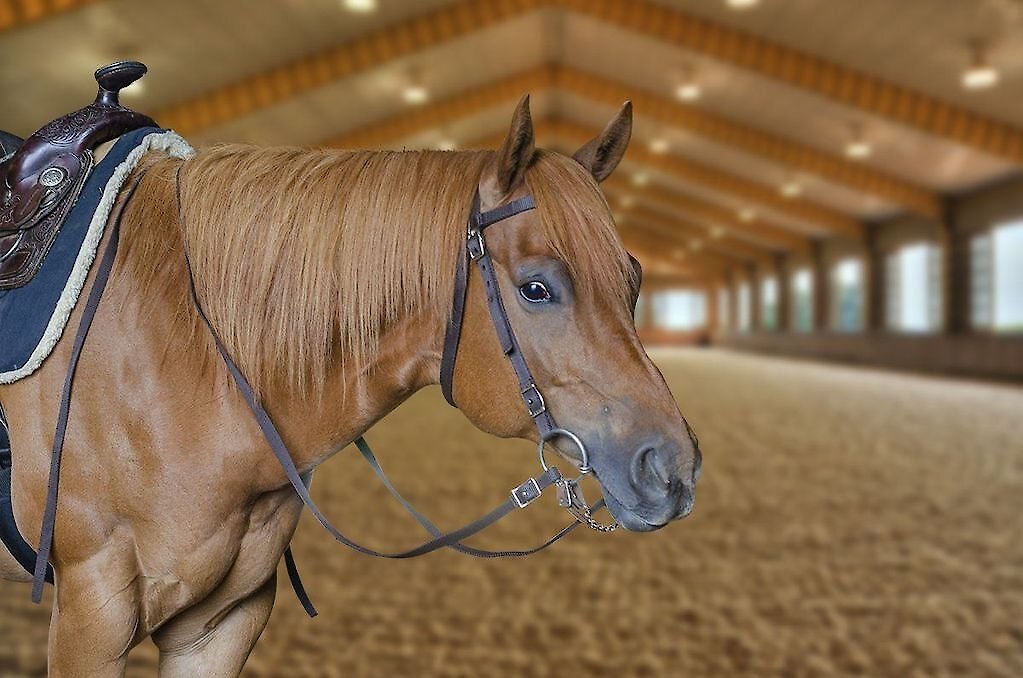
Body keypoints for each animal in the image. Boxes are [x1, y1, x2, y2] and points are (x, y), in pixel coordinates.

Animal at [0, 96, 703, 678]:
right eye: (536, 287)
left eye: (634, 277)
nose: (672, 468)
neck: (182, 349)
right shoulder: (93, 618)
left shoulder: (216, 626)